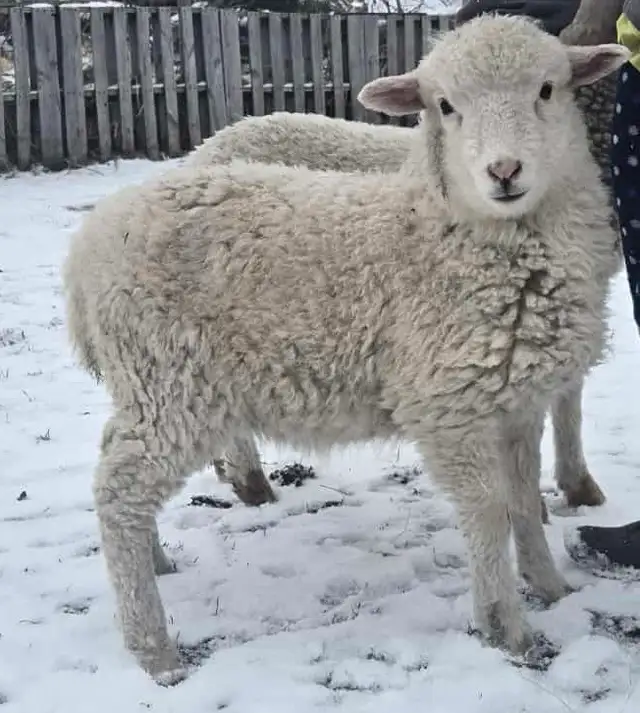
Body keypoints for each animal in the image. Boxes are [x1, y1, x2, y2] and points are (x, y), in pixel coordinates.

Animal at [188, 0, 624, 523]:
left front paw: (575, 484)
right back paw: (251, 481)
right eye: (445, 105)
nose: (504, 171)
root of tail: (210, 145)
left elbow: (566, 395)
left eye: (547, 88)